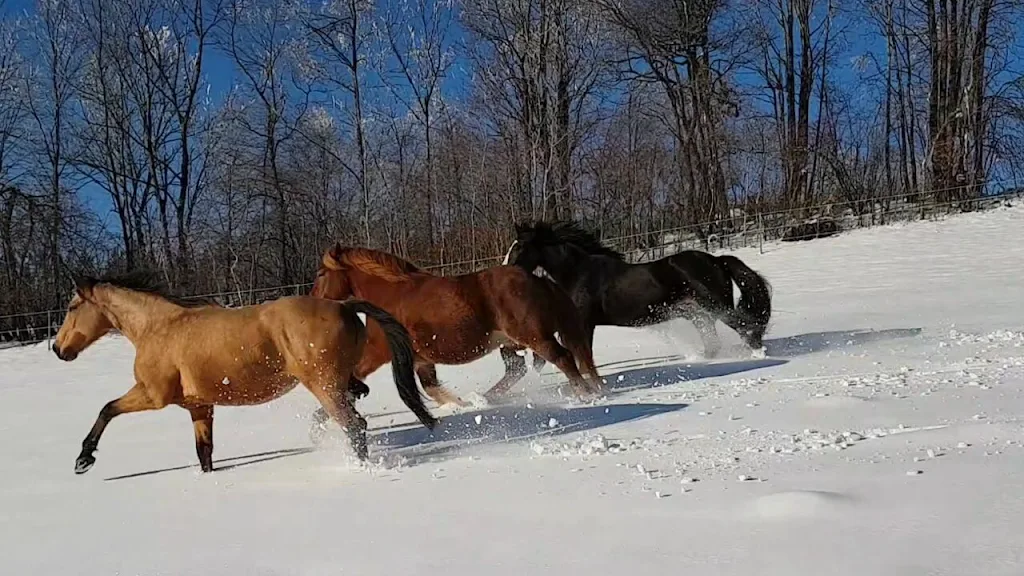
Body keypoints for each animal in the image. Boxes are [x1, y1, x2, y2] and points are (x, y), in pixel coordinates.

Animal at [51, 270, 436, 474]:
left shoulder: (151, 394)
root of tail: (343, 304)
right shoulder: (199, 407)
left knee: (354, 425)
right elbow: (204, 452)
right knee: (356, 402)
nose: (58, 349)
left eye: (71, 307)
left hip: (323, 384)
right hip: (339, 381)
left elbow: (106, 409)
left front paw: (83, 459)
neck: (157, 328)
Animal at [308, 244, 604, 415]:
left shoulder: (376, 353)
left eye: (321, 274)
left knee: (563, 358)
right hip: (516, 342)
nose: (313, 301)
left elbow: (352, 377)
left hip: (534, 337)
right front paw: (462, 405)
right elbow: (432, 389)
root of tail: (537, 279)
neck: (391, 295)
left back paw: (587, 394)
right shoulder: (421, 360)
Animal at [499, 220, 772, 375]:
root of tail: (716, 260)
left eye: (519, 246)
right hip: (700, 315)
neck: (578, 273)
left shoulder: (584, 324)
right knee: (716, 341)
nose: (504, 269)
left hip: (716, 307)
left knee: (745, 326)